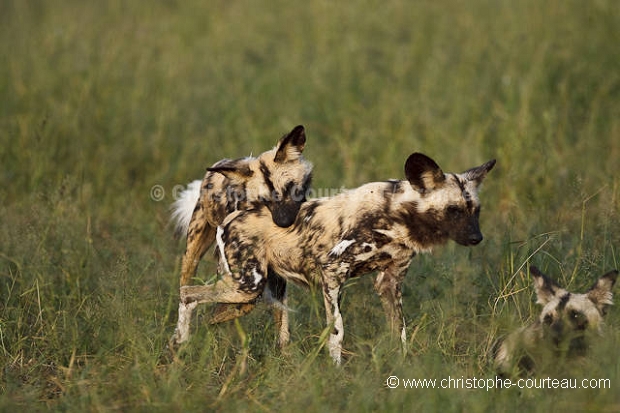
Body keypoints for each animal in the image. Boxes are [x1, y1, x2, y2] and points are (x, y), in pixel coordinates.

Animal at [168, 125, 312, 344]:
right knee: (185, 289)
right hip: (193, 253)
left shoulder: (274, 279)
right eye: (265, 200)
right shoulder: (245, 279)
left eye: (290, 189)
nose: (284, 223)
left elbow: (281, 325)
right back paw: (180, 337)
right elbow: (237, 304)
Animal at [178, 153, 494, 362]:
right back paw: (178, 345)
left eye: (475, 211)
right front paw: (336, 371)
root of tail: (237, 212)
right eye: (453, 210)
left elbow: (400, 332)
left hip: (256, 292)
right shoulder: (332, 271)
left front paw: (402, 367)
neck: (397, 214)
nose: (477, 238)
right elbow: (337, 332)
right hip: (247, 286)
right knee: (187, 293)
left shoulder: (390, 282)